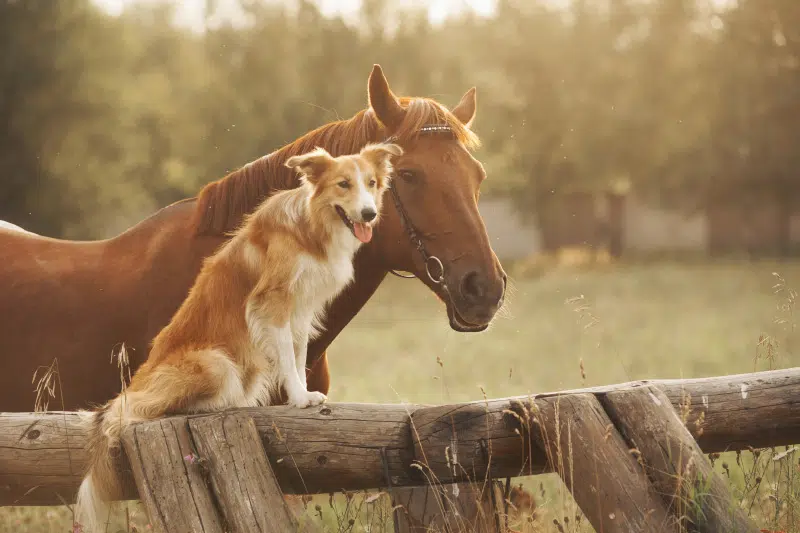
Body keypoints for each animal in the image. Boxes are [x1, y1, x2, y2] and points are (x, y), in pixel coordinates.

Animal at [75, 142, 404, 532]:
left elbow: (298, 354)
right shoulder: (272, 303)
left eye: (371, 183)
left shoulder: (302, 309)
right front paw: (299, 398)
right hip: (216, 364)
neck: (311, 226)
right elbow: (288, 358)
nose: (370, 214)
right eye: (343, 184)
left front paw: (304, 394)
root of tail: (137, 382)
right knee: (137, 409)